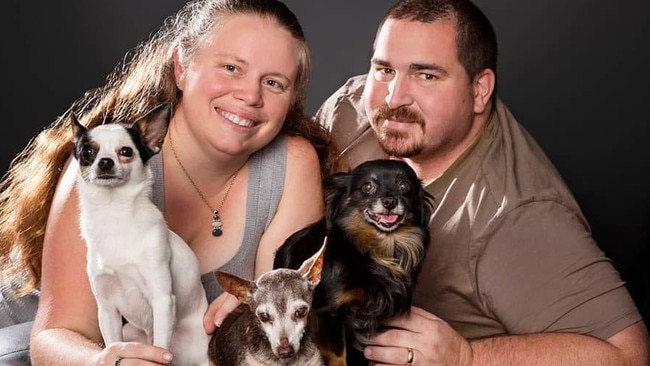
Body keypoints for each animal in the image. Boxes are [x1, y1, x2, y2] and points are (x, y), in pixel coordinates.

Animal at [270, 159, 432, 364]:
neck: (377, 251)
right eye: (367, 187)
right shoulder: (327, 313)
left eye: (404, 186)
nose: (389, 201)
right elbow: (338, 355)